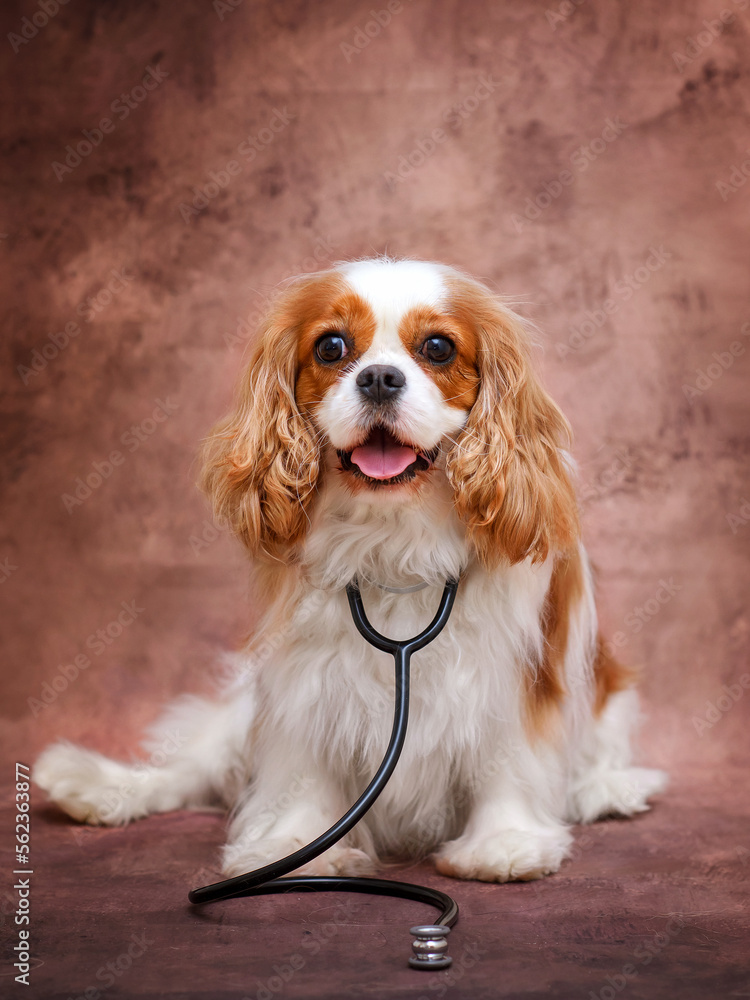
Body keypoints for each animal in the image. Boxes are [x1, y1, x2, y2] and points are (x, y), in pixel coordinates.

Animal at [35, 256, 668, 884]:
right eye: (331, 346)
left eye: (438, 348)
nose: (380, 377)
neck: (394, 535)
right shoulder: (307, 672)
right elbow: (304, 762)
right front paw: (295, 841)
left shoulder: (512, 671)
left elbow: (505, 754)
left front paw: (504, 841)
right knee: (195, 765)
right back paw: (97, 788)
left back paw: (606, 788)